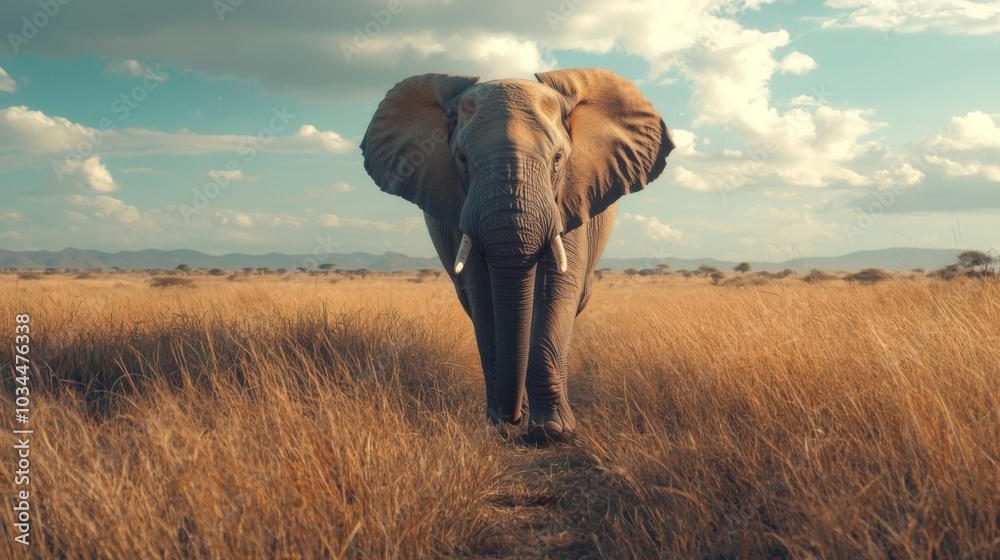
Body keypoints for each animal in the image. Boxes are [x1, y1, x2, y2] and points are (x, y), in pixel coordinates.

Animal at [361, 68, 674, 443]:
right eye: (461, 159)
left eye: (558, 159)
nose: (511, 419)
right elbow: (483, 294)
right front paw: (500, 426)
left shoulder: (571, 197)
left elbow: (558, 289)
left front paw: (551, 432)